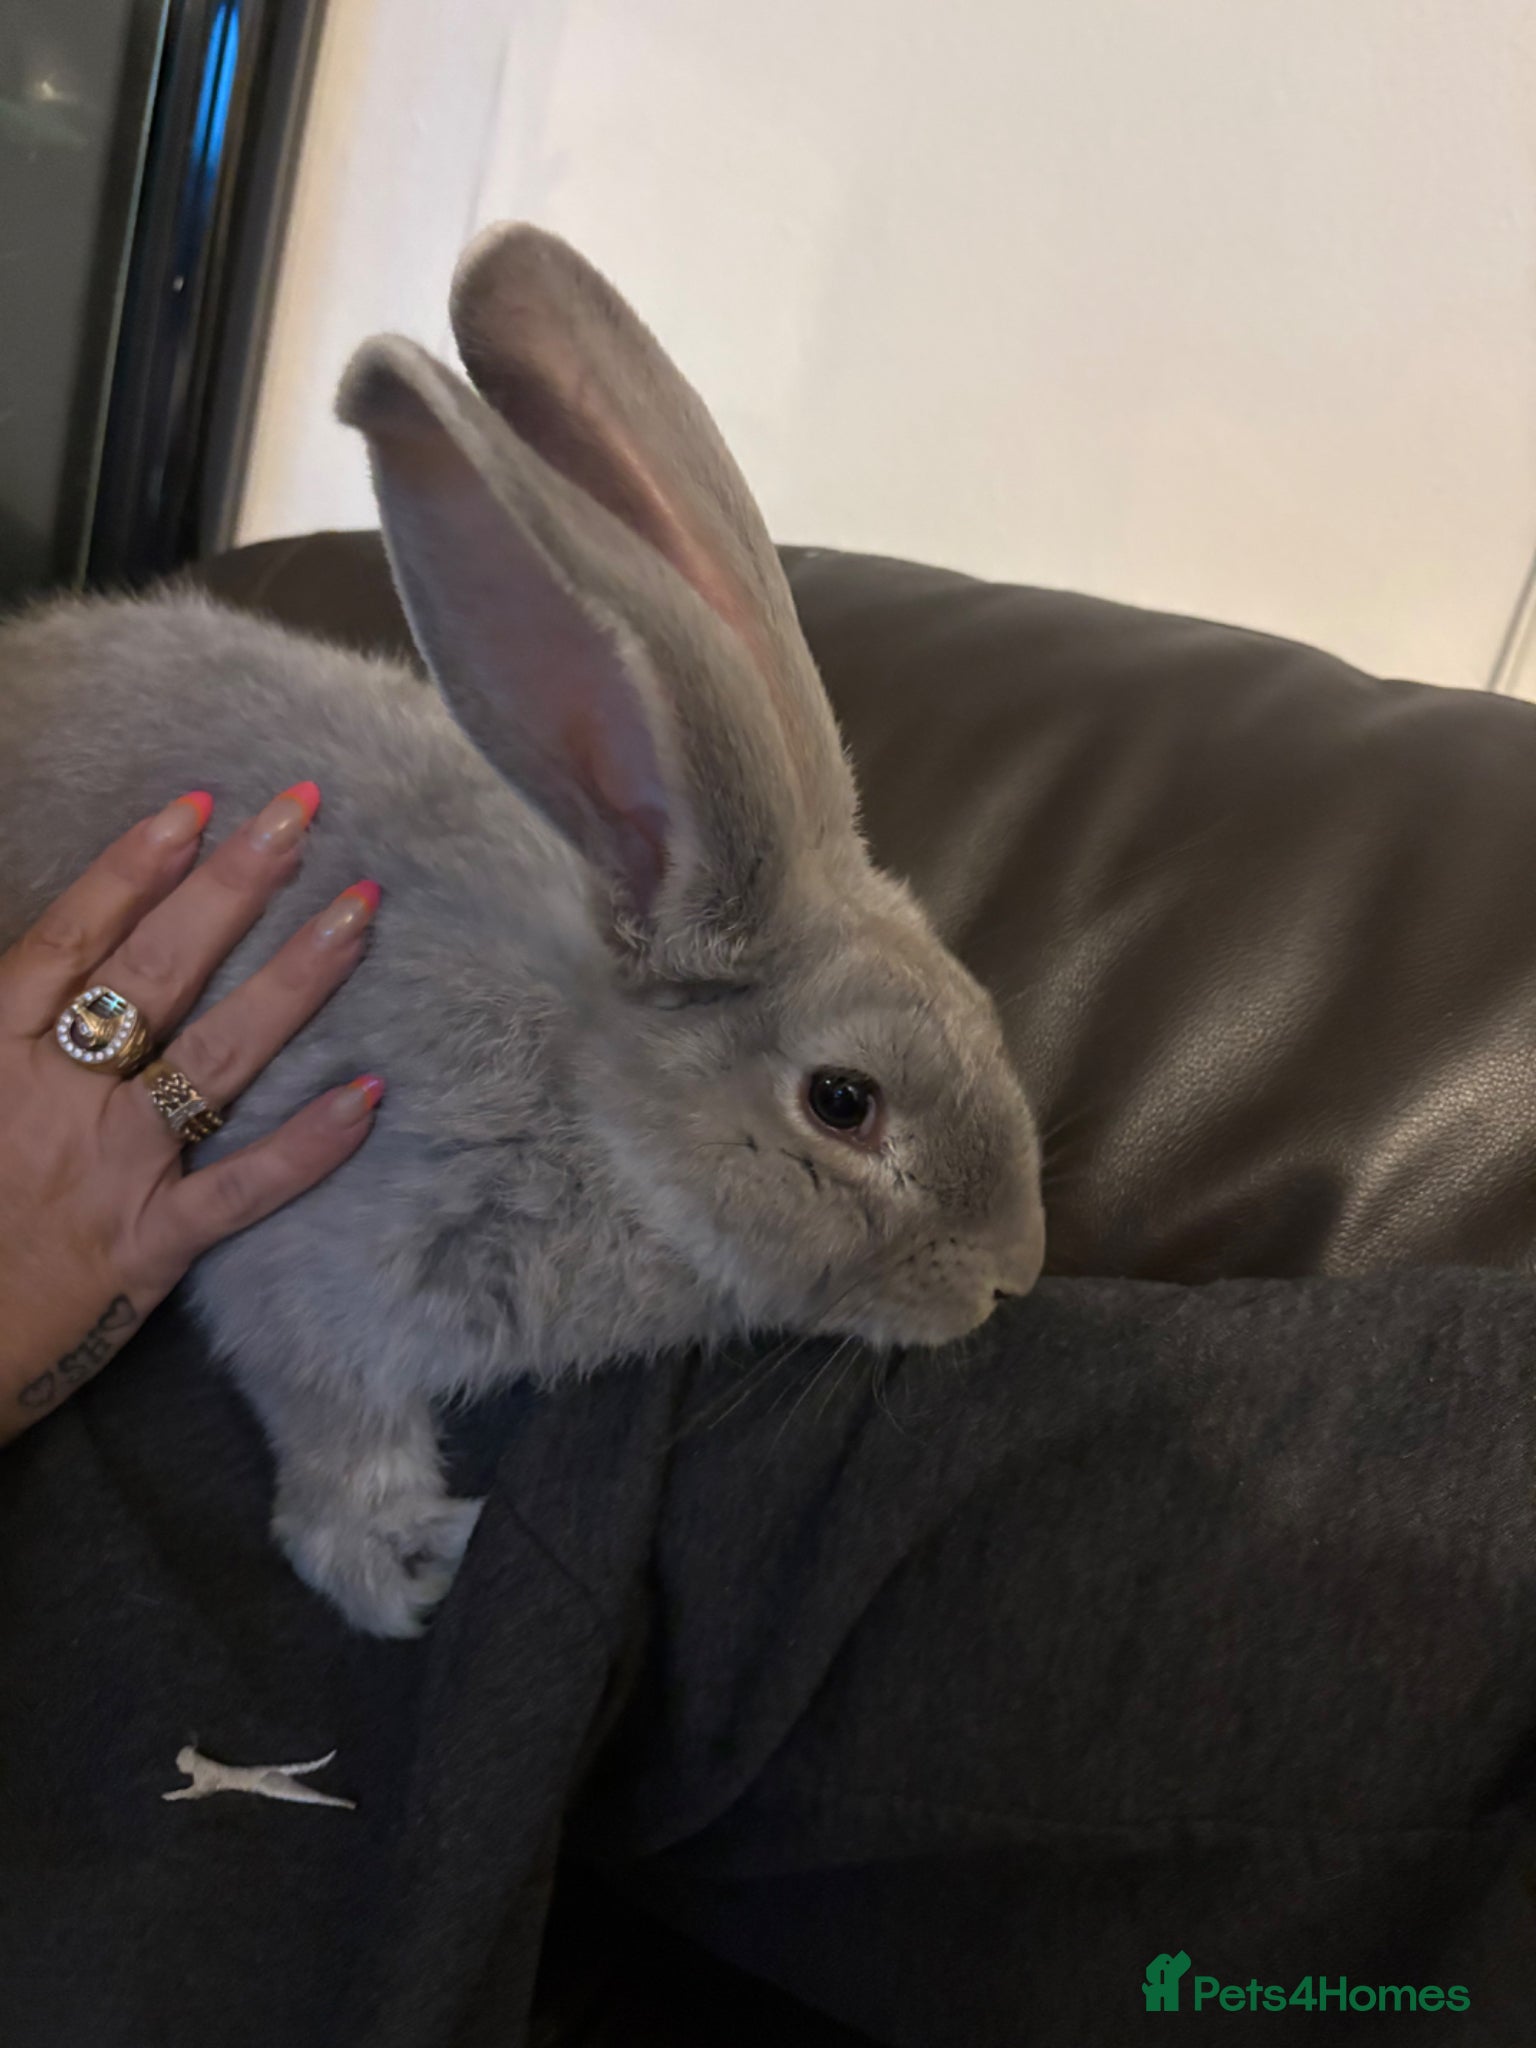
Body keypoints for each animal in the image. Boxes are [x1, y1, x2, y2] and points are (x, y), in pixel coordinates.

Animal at [0, 226, 1045, 1637]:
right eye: (843, 1101)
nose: (1011, 1273)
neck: (596, 1105)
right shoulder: (314, 1264)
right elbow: (336, 1430)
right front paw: (406, 1566)